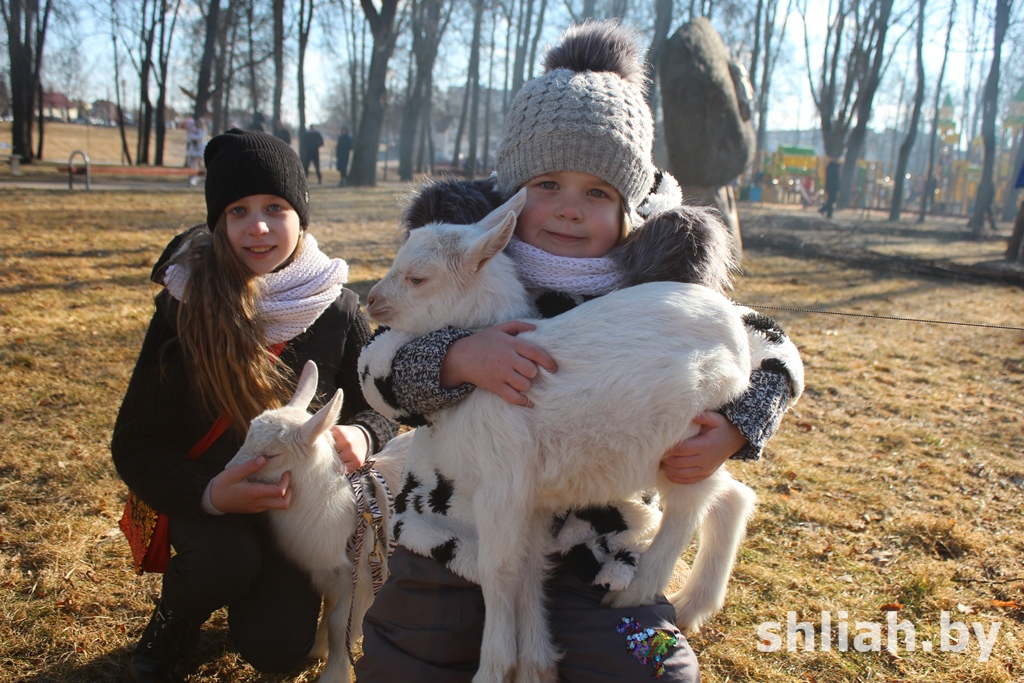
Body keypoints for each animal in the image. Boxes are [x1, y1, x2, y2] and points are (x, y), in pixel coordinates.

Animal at [226, 366, 401, 683]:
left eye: (270, 455)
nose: (226, 474)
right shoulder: (330, 576)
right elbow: (328, 614)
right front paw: (317, 649)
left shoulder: (360, 578)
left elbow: (339, 624)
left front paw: (334, 674)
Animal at [368, 188, 761, 683]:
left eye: (418, 278)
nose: (371, 301)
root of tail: (739, 341)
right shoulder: (533, 497)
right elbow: (530, 567)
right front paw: (536, 665)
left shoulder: (503, 482)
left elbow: (499, 570)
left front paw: (494, 669)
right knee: (730, 496)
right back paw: (693, 605)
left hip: (684, 432)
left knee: (688, 508)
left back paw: (635, 594)